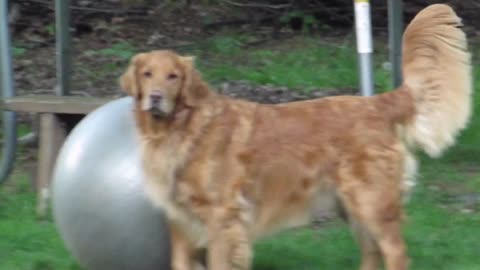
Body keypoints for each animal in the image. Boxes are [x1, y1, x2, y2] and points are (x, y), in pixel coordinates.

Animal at [119, 4, 472, 270]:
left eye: (173, 77)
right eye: (147, 74)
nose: (155, 98)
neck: (184, 129)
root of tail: (377, 102)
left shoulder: (222, 218)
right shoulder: (180, 222)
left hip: (371, 202)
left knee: (396, 253)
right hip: (350, 205)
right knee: (372, 253)